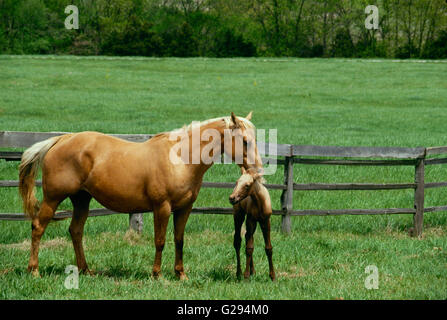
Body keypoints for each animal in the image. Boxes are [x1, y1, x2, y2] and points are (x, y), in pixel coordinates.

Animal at [18, 111, 262, 278]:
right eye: (245, 141)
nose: (257, 170)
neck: (180, 159)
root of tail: (61, 139)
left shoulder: (184, 209)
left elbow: (179, 239)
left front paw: (180, 274)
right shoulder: (161, 207)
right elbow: (160, 240)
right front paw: (157, 274)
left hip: (81, 200)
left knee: (76, 231)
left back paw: (86, 270)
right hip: (53, 198)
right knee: (38, 227)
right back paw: (34, 270)